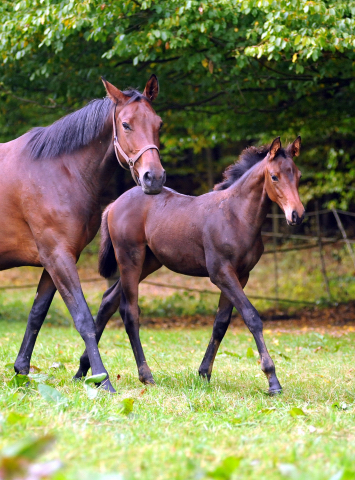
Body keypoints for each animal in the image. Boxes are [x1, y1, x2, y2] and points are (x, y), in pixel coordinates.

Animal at [76, 137, 304, 392]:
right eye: (274, 176)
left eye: (298, 175)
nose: (297, 214)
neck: (235, 215)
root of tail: (114, 204)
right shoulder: (221, 273)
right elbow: (251, 317)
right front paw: (272, 379)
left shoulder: (241, 275)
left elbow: (221, 323)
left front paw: (204, 372)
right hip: (130, 259)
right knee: (129, 311)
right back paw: (145, 375)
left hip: (149, 263)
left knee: (108, 300)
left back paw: (84, 371)